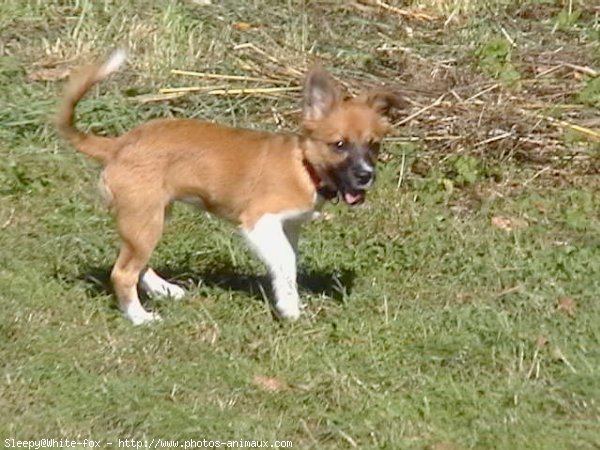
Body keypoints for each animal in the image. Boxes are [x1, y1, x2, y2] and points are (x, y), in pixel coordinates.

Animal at [57, 50, 404, 324]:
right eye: (339, 145)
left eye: (373, 145)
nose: (366, 176)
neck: (303, 166)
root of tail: (116, 145)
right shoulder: (259, 223)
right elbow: (286, 263)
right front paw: (290, 310)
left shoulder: (288, 227)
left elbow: (286, 267)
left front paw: (287, 299)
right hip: (146, 219)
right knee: (123, 272)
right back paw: (139, 317)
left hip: (151, 217)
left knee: (133, 263)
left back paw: (164, 289)